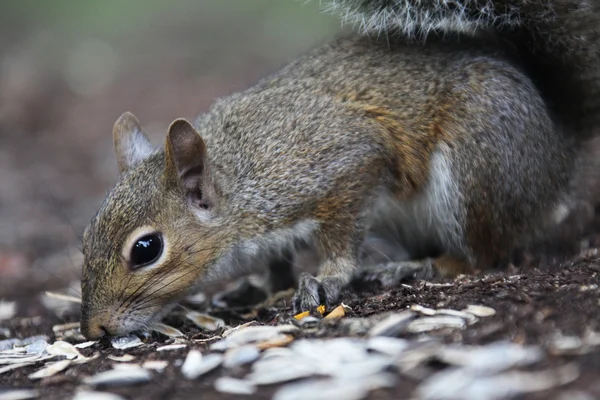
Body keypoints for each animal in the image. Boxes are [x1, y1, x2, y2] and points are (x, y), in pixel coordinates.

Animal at [79, 0, 600, 340]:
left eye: (146, 249)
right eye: (84, 240)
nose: (94, 328)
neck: (242, 178)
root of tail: (557, 148)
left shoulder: (342, 168)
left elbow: (341, 239)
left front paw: (325, 280)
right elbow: (278, 259)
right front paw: (264, 285)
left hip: (476, 171)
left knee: (483, 254)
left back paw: (417, 265)